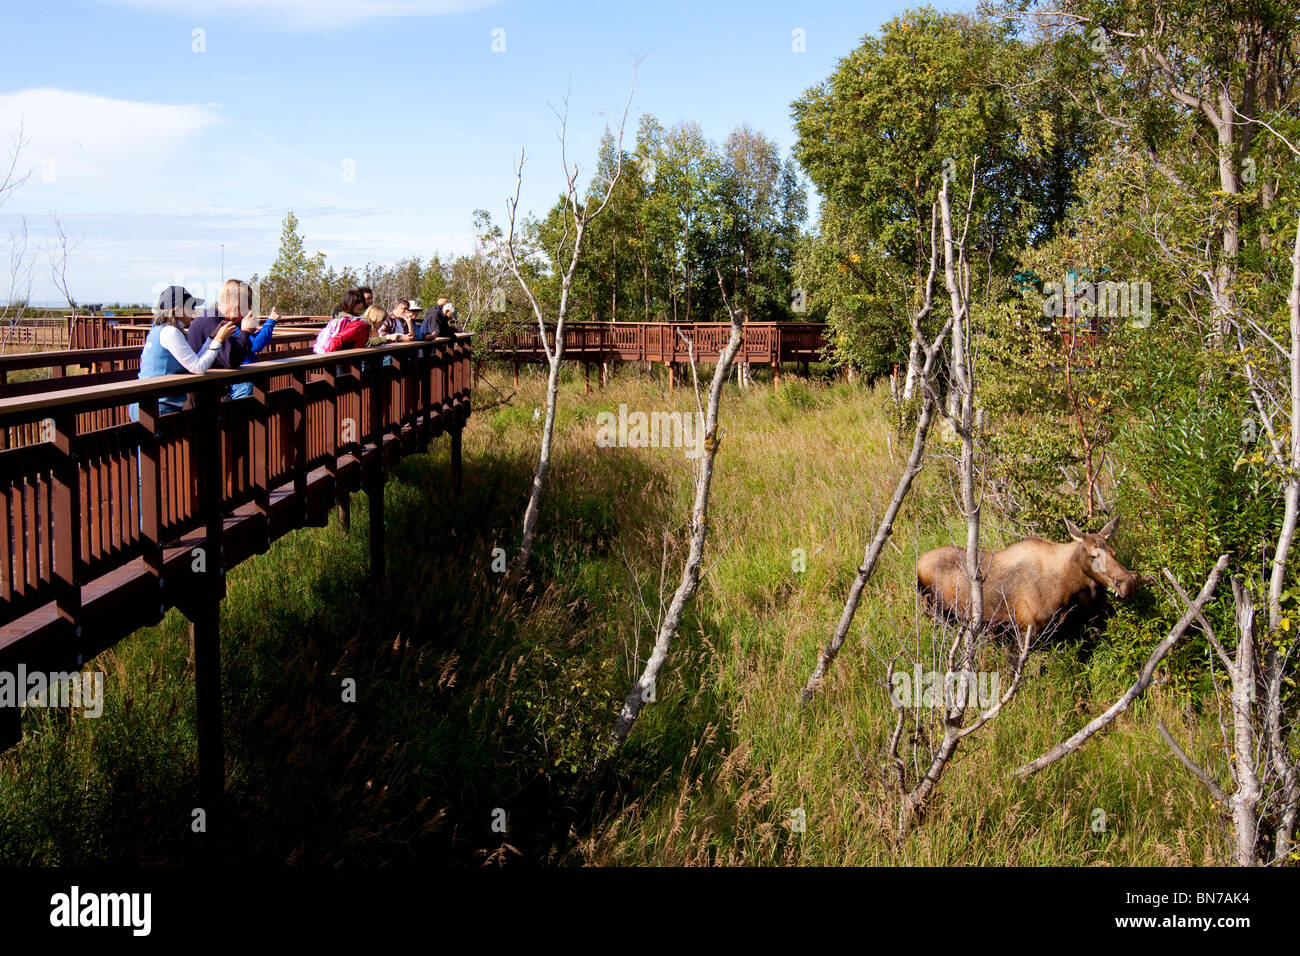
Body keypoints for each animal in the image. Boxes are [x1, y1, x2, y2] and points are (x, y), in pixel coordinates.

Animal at [915, 515, 1139, 643]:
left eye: (1114, 553)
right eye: (1093, 555)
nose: (1128, 583)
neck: (1065, 588)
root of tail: (917, 565)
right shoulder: (1025, 628)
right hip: (935, 612)